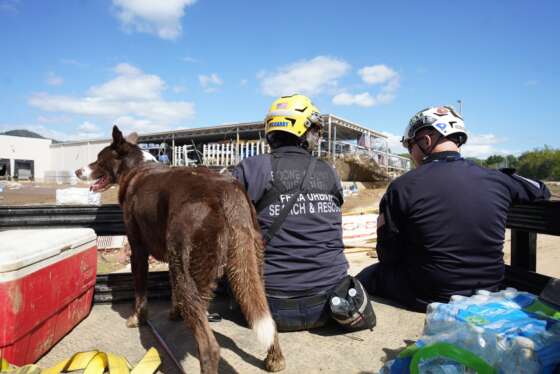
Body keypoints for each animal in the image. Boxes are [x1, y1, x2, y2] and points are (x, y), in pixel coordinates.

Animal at [75, 127, 284, 372]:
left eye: (99, 160)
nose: (77, 170)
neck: (137, 168)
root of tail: (227, 192)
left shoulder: (139, 249)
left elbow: (140, 290)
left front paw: (138, 318)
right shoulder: (171, 253)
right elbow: (171, 285)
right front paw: (175, 313)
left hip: (189, 274)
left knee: (209, 347)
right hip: (252, 264)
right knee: (266, 315)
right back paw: (275, 360)